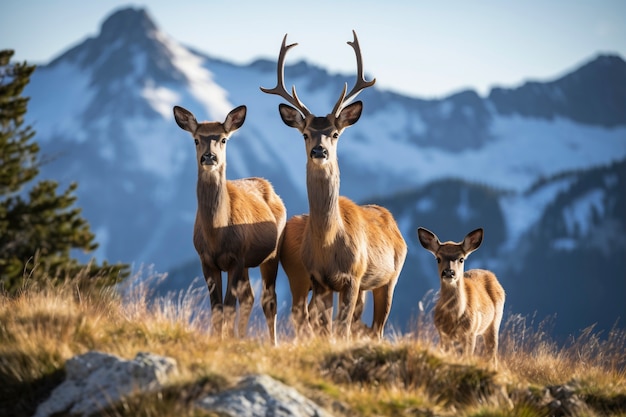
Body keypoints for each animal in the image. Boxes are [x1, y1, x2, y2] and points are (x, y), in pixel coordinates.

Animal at [173, 105, 286, 344]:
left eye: (223, 139)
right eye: (196, 139)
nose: (209, 156)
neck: (217, 234)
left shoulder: (236, 257)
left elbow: (228, 306)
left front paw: (225, 341)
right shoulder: (206, 260)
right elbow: (216, 307)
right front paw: (218, 339)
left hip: (272, 253)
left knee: (268, 300)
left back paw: (272, 343)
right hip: (247, 264)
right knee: (249, 298)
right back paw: (240, 337)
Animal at [260, 31, 408, 338]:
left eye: (336, 133)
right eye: (305, 133)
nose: (320, 151)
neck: (329, 243)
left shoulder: (352, 277)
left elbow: (340, 329)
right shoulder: (320, 281)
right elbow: (327, 329)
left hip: (390, 277)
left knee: (377, 327)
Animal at [416, 228, 504, 368]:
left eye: (461, 259)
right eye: (438, 258)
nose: (448, 272)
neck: (454, 317)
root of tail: (492, 275)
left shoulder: (470, 333)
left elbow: (466, 357)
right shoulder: (443, 333)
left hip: (494, 322)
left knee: (492, 355)